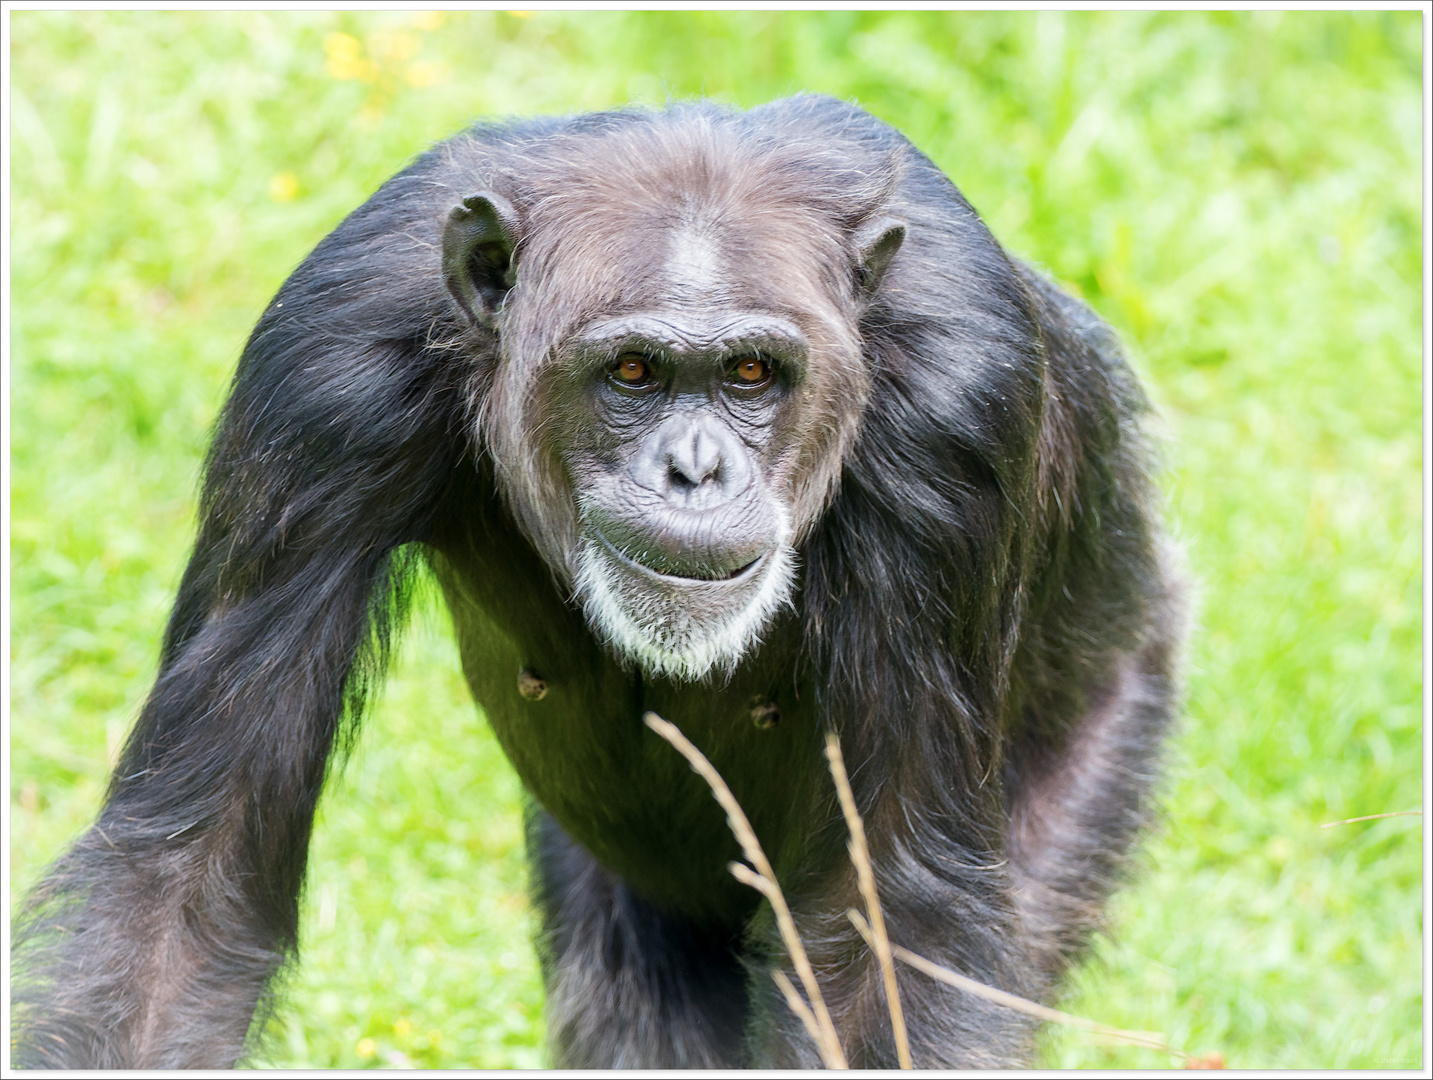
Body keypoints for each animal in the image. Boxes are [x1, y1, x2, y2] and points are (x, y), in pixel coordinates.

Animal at [11, 94, 1180, 1071]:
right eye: (632, 372)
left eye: (750, 372)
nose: (695, 468)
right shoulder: (320, 374)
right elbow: (183, 885)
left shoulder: (959, 419)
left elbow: (889, 925)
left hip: (1117, 701)